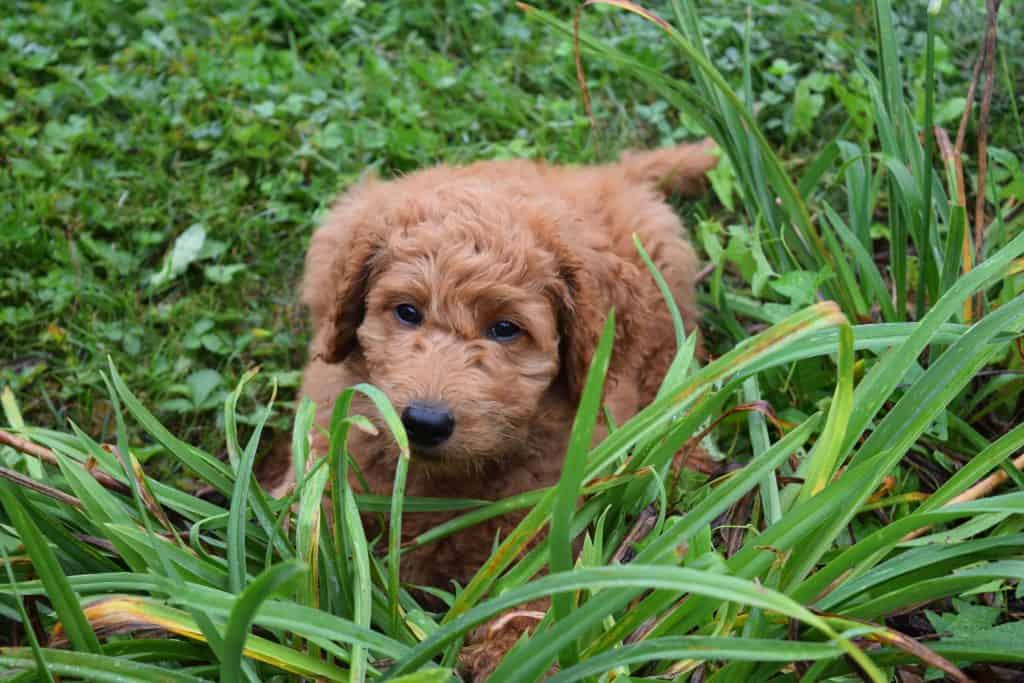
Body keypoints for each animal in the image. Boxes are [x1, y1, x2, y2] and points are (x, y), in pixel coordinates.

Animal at [292, 139, 716, 679]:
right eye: (407, 312)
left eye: (505, 329)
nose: (425, 422)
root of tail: (605, 175)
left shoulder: (550, 511)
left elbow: (534, 587)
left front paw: (512, 653)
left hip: (665, 309)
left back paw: (688, 460)